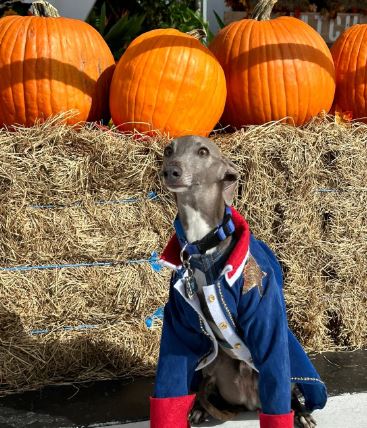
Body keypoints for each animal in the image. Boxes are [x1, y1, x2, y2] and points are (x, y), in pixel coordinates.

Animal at [162, 135, 320, 426]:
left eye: (203, 151)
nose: (172, 172)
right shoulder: (179, 320)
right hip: (212, 365)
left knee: (287, 386)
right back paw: (199, 407)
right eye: (169, 150)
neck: (203, 247)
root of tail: (249, 401)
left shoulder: (263, 309)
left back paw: (300, 413)